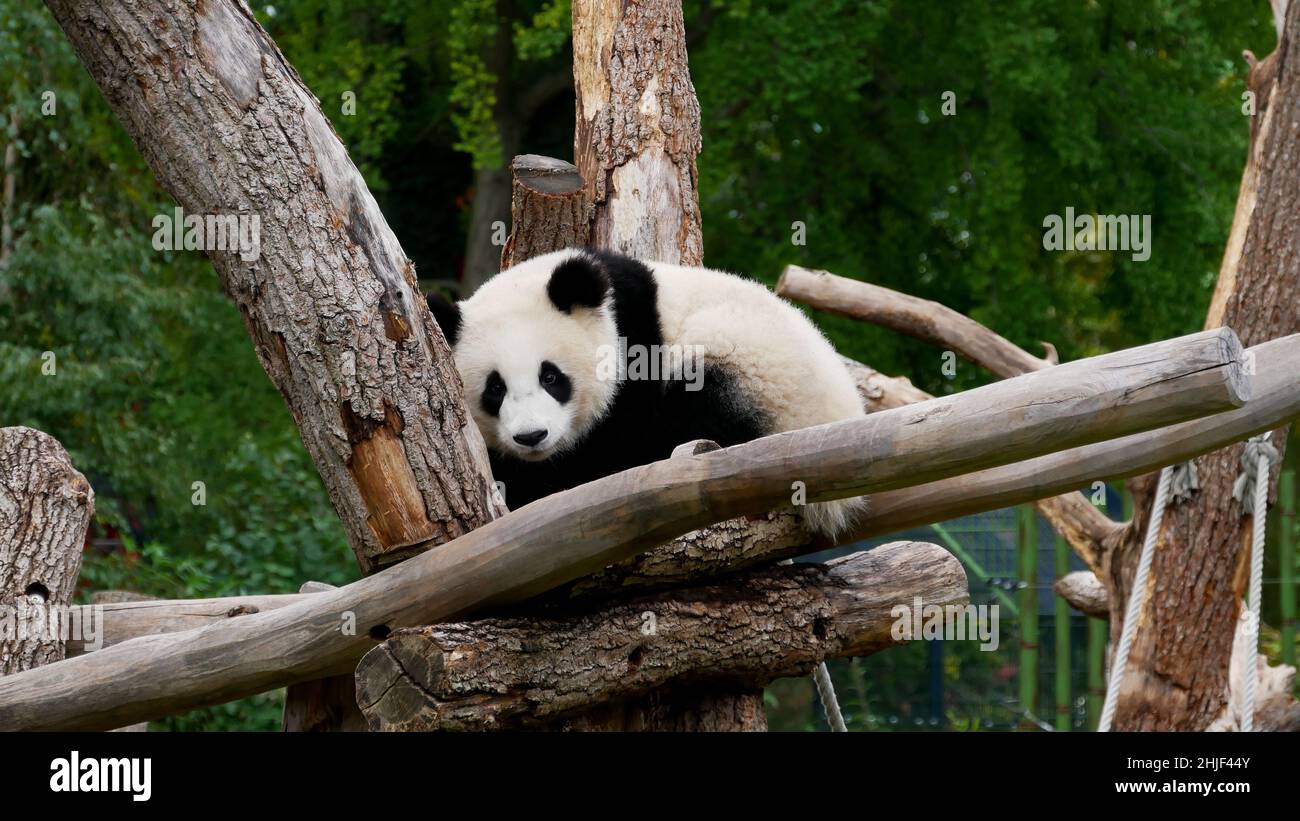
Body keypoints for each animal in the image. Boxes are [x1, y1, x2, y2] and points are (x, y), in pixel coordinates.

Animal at [428, 250, 873, 545]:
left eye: (551, 376)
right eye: (495, 388)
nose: (532, 437)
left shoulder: (636, 352)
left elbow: (613, 447)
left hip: (760, 380)